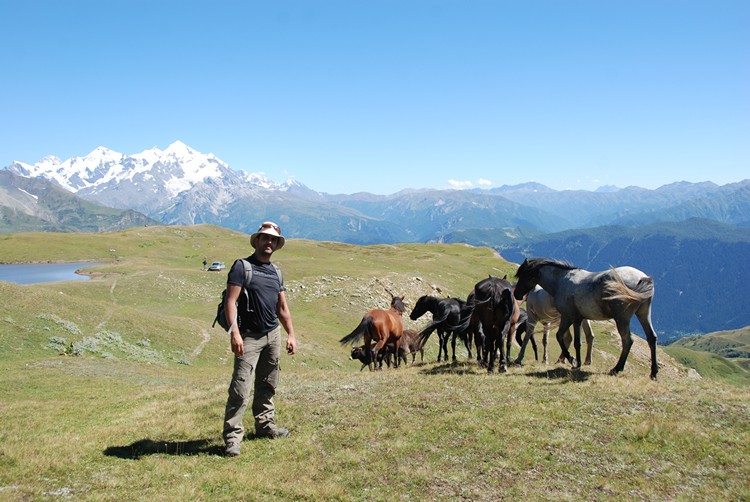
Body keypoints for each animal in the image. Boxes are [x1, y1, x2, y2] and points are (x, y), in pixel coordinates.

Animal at [516, 258, 660, 380]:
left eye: (523, 276)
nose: (517, 294)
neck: (561, 281)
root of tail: (641, 277)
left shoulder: (567, 317)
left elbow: (560, 336)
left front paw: (572, 359)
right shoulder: (577, 319)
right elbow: (577, 342)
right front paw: (578, 363)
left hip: (622, 319)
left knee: (627, 341)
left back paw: (617, 368)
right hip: (643, 314)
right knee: (651, 338)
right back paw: (653, 373)